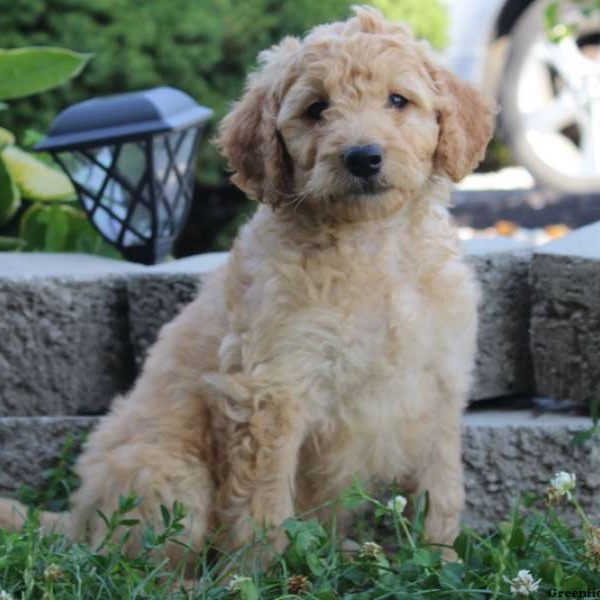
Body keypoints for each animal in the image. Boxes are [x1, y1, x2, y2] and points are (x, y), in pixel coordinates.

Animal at [0, 5, 492, 568]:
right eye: (316, 109)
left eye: (398, 100)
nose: (363, 156)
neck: (376, 245)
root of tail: (77, 518)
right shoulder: (270, 390)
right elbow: (263, 504)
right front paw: (261, 574)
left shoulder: (439, 384)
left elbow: (442, 489)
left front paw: (442, 562)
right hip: (171, 477)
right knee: (145, 558)